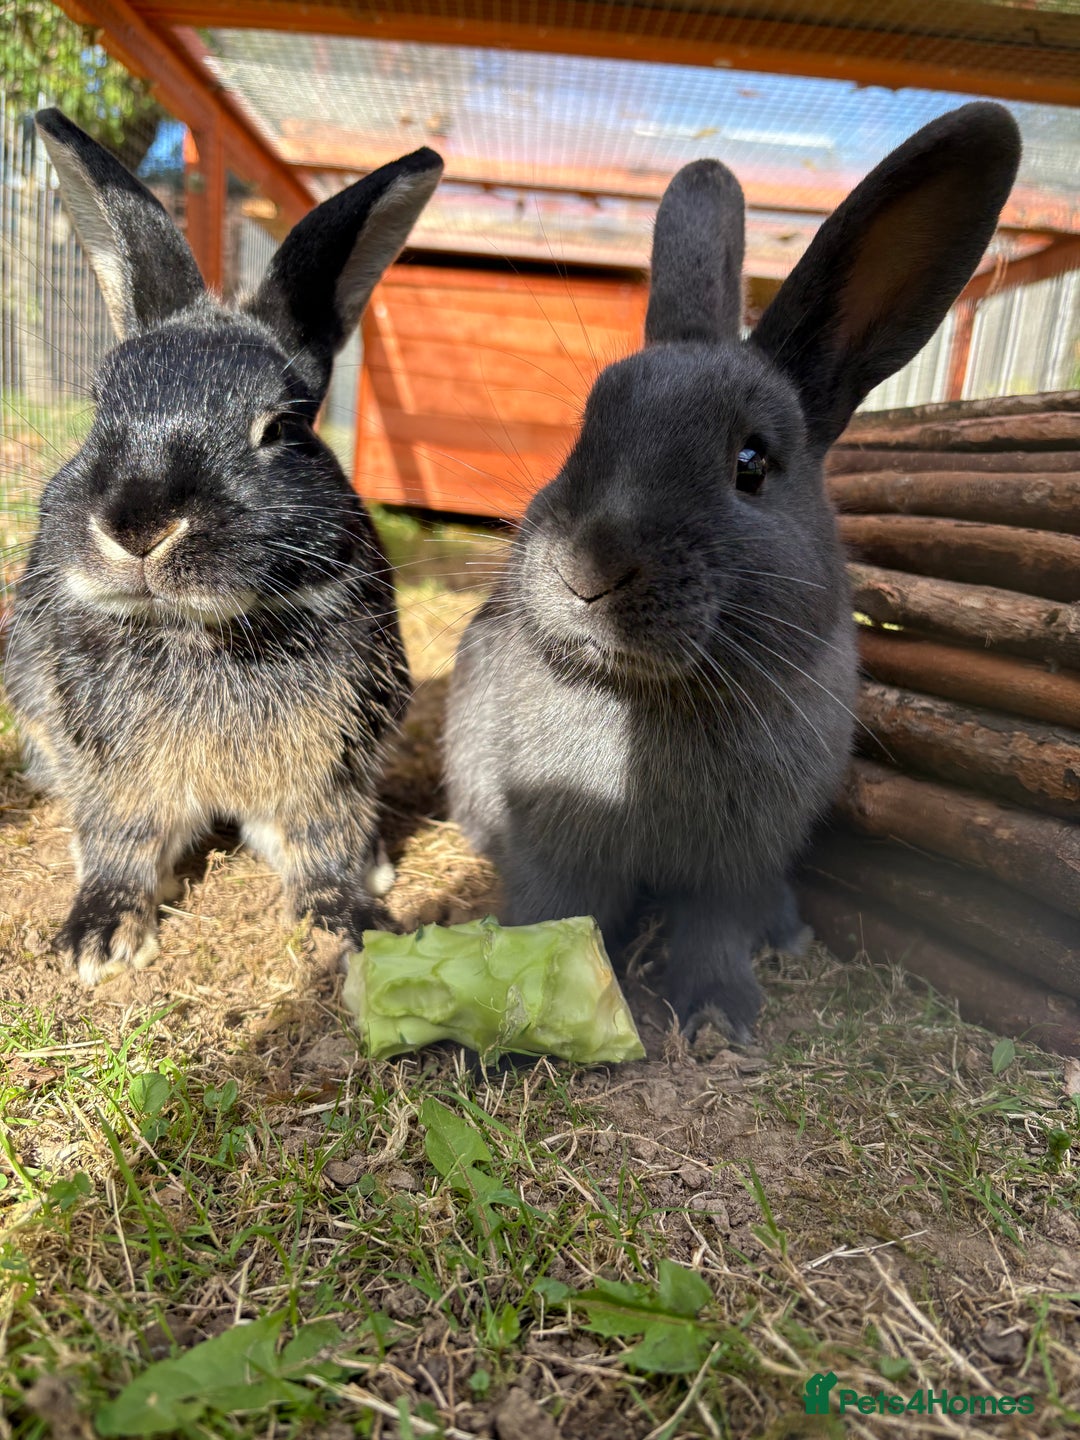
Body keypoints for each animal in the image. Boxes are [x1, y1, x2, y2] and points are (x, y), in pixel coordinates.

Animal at [4, 108, 443, 984]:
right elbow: (121, 839)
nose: (138, 524)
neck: (199, 629)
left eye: (279, 428)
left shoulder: (327, 765)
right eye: (99, 407)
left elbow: (321, 842)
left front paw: (350, 922)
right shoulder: (113, 770)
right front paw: (100, 936)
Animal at [445, 103, 1021, 1038]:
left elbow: (715, 923)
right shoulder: (549, 848)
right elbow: (555, 910)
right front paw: (529, 999)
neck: (649, 708)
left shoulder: (736, 862)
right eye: (586, 428)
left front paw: (719, 1017)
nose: (586, 568)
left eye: (752, 463)